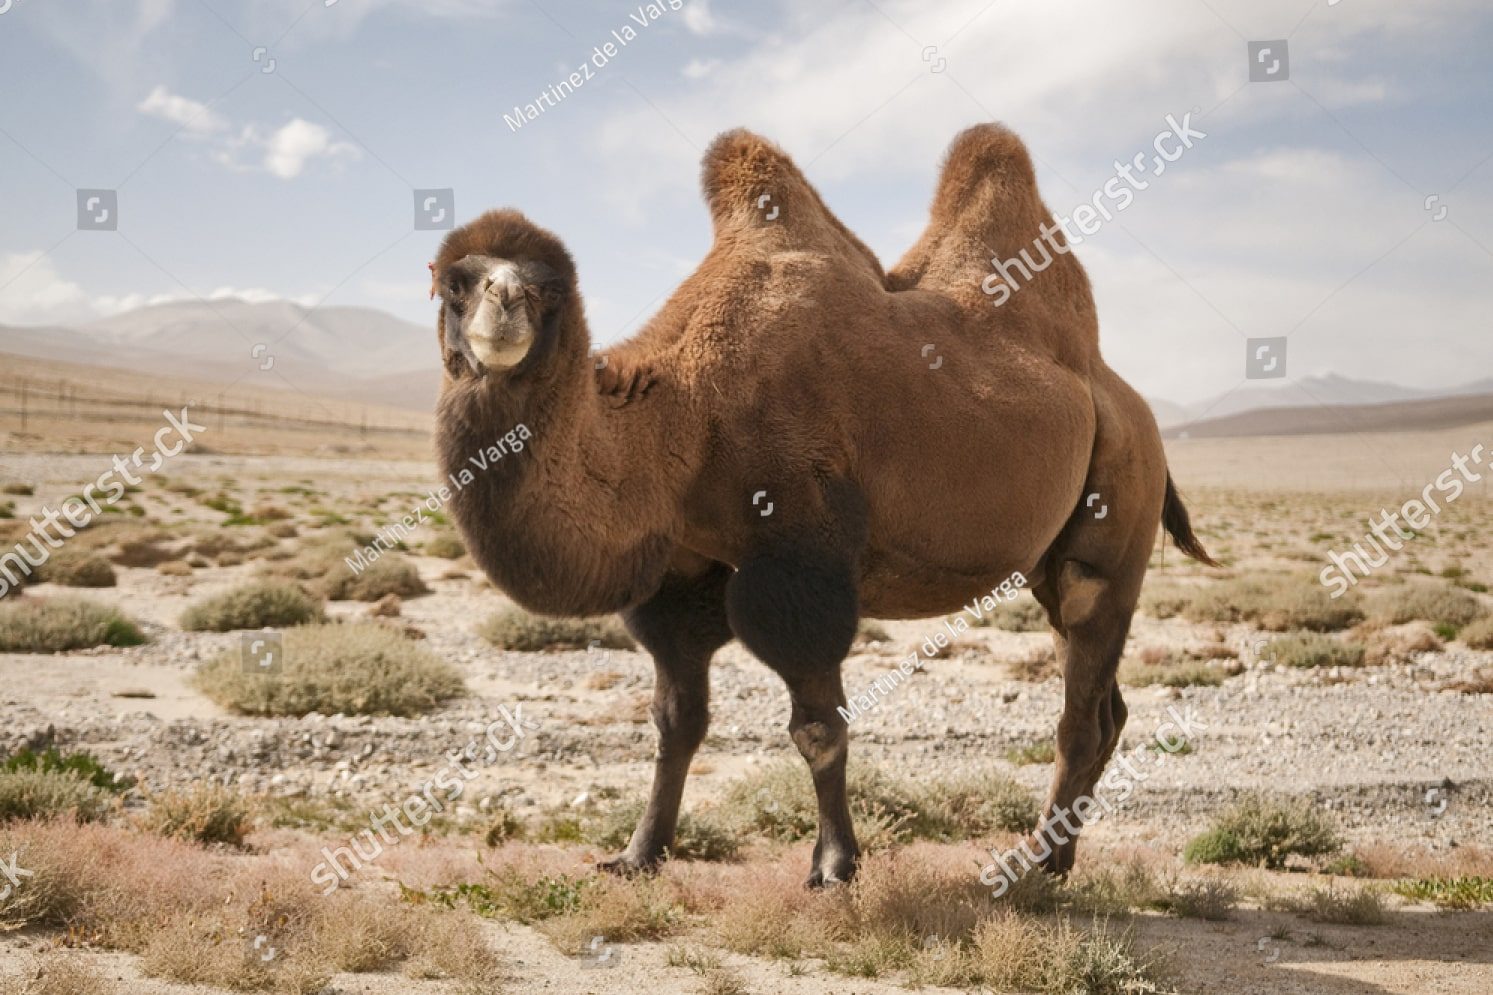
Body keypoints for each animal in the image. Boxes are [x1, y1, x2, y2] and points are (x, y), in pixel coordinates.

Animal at [429, 123, 1215, 888]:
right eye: (452, 283)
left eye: (549, 289)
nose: (502, 309)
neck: (684, 416)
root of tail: (1129, 405)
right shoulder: (681, 577)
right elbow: (676, 720)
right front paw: (638, 853)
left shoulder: (800, 563)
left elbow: (817, 729)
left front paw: (835, 864)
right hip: (1050, 562)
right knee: (1105, 705)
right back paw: (1058, 859)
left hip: (1117, 511)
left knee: (1079, 705)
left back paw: (1031, 867)